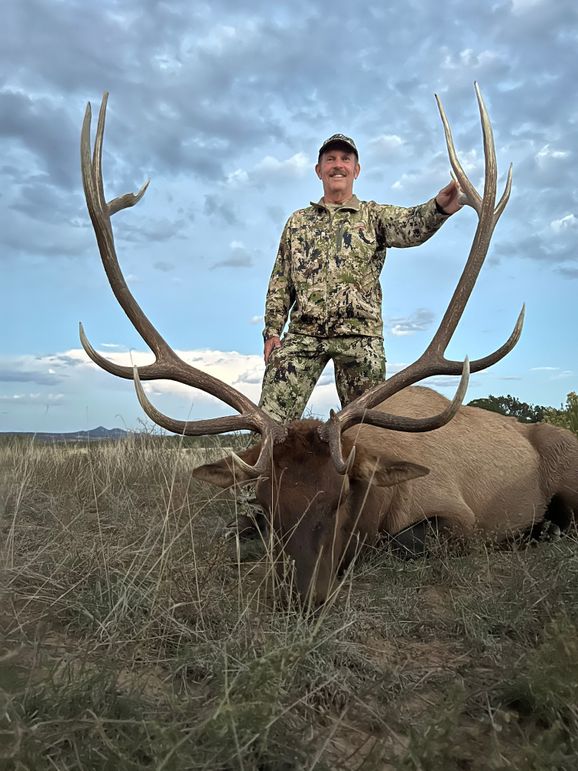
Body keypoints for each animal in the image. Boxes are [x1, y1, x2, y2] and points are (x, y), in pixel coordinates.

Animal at [79, 85, 578, 607]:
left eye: (342, 497)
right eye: (268, 502)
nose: (303, 595)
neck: (381, 491)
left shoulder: (459, 516)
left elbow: (406, 542)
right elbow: (238, 534)